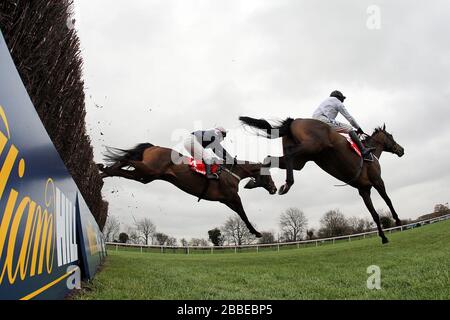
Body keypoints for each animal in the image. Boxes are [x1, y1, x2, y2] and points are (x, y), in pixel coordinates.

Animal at [97, 142, 278, 238]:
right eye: (268, 174)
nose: (274, 188)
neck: (232, 172)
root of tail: (154, 146)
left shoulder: (225, 200)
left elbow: (239, 213)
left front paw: (254, 231)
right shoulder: (233, 196)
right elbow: (243, 213)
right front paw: (256, 232)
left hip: (146, 176)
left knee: (123, 170)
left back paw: (104, 172)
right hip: (149, 169)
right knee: (128, 160)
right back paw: (102, 166)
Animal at [239, 116, 404, 244]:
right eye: (391, 136)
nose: (401, 150)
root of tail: (295, 121)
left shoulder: (363, 190)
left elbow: (374, 214)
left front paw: (383, 237)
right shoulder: (378, 181)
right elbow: (388, 200)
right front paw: (397, 220)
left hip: (301, 161)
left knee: (269, 158)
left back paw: (257, 182)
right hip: (313, 145)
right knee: (289, 154)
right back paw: (287, 184)